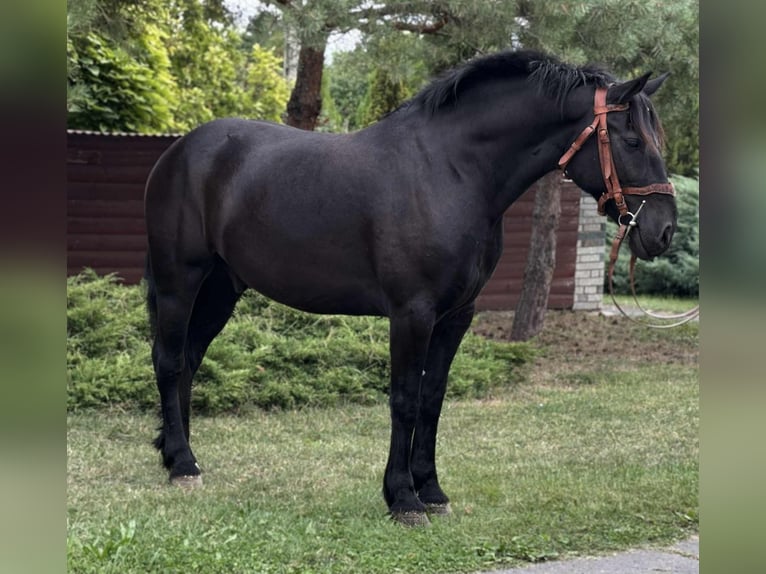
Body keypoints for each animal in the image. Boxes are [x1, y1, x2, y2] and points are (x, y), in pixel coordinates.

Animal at [144, 49, 677, 526]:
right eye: (632, 140)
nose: (664, 230)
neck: (450, 171)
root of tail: (180, 150)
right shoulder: (411, 313)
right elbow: (403, 399)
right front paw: (402, 498)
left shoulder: (456, 315)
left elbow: (432, 399)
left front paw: (432, 490)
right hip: (179, 281)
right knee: (169, 362)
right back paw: (182, 462)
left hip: (221, 287)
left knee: (190, 358)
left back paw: (177, 455)